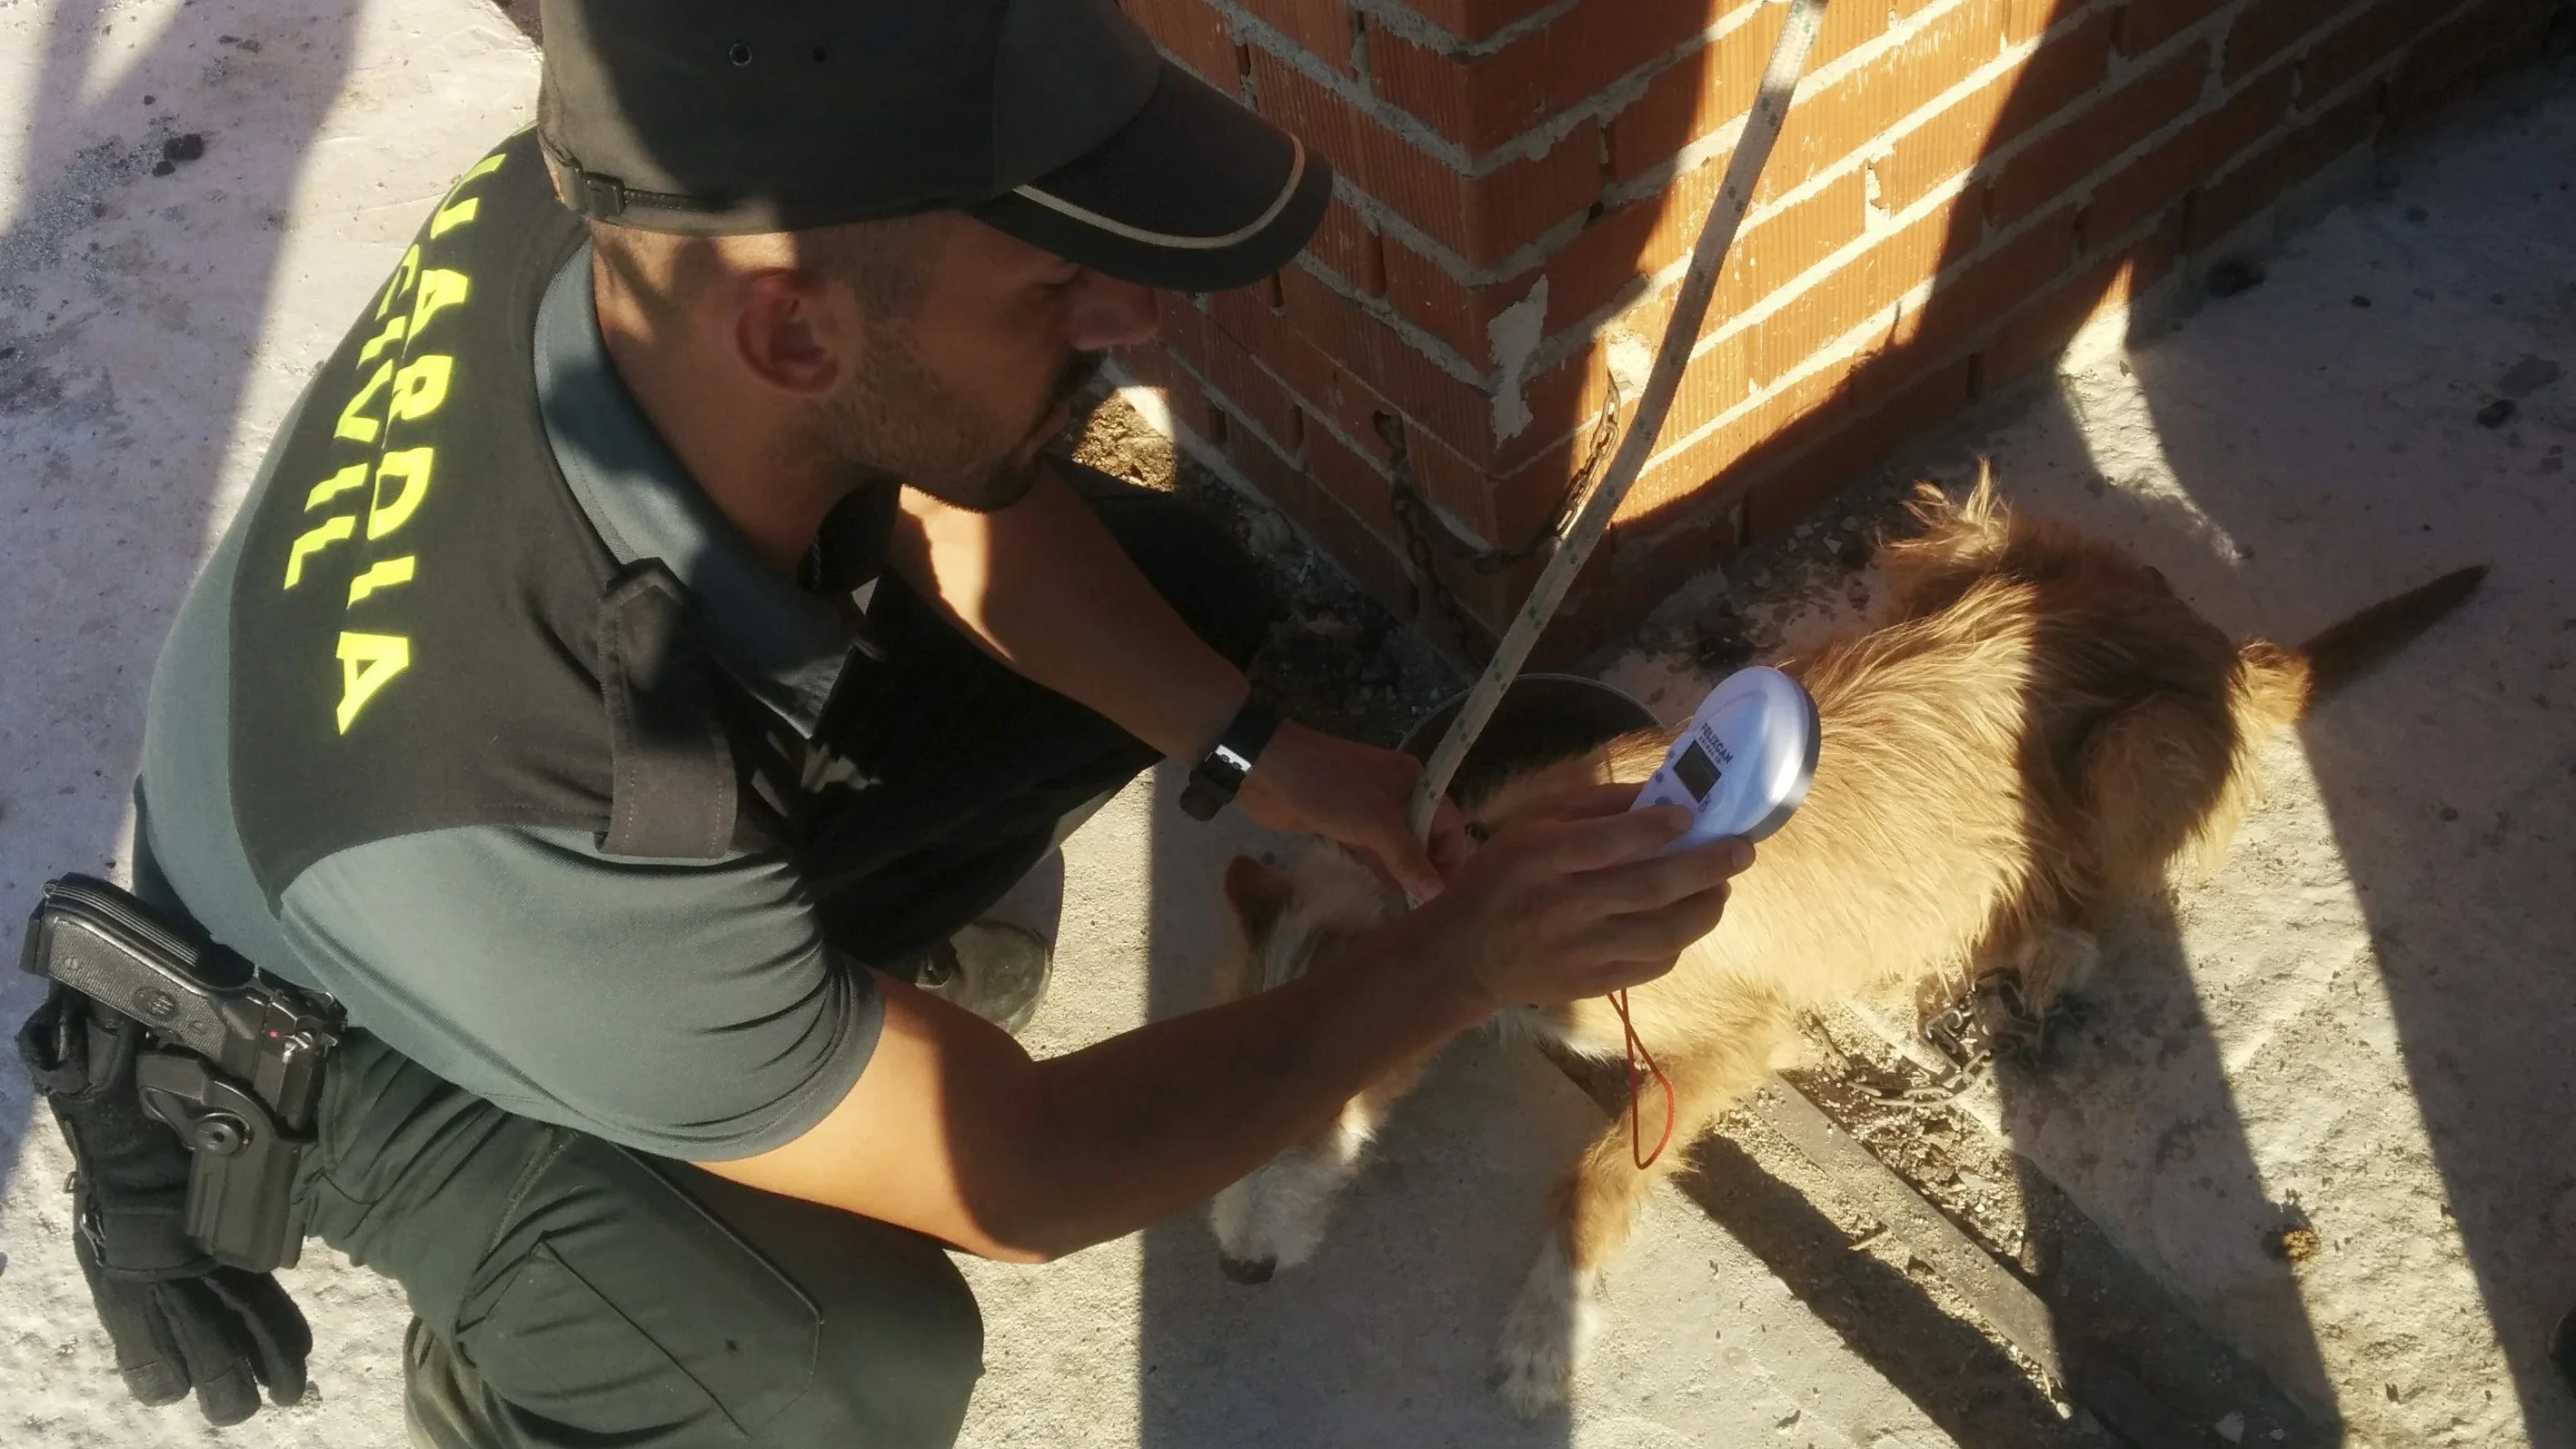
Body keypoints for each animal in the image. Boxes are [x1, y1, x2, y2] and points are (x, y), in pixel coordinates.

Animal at [1200, 468, 2472, 1420]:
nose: (1236, 1272)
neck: (1487, 872)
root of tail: (2225, 647)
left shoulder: (1737, 1030)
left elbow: (1595, 1173)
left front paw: (1544, 1333)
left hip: (2137, 747)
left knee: (2104, 895)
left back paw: (2032, 956)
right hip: (1955, 537)